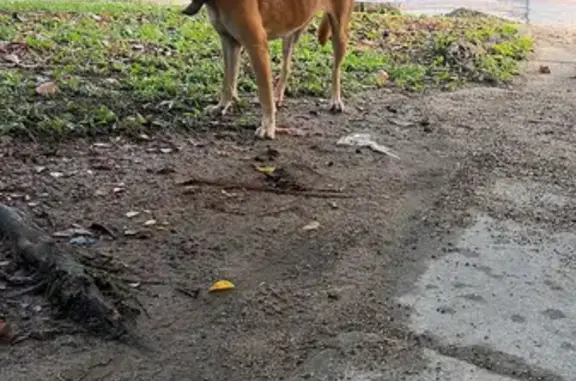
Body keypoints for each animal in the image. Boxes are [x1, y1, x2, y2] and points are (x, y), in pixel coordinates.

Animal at [183, 0, 356, 140]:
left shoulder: (257, 46)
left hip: (339, 31)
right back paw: (278, 96)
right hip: (291, 30)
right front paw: (221, 107)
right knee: (286, 67)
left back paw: (336, 100)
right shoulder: (229, 42)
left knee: (336, 69)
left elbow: (264, 93)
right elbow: (228, 81)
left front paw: (268, 126)